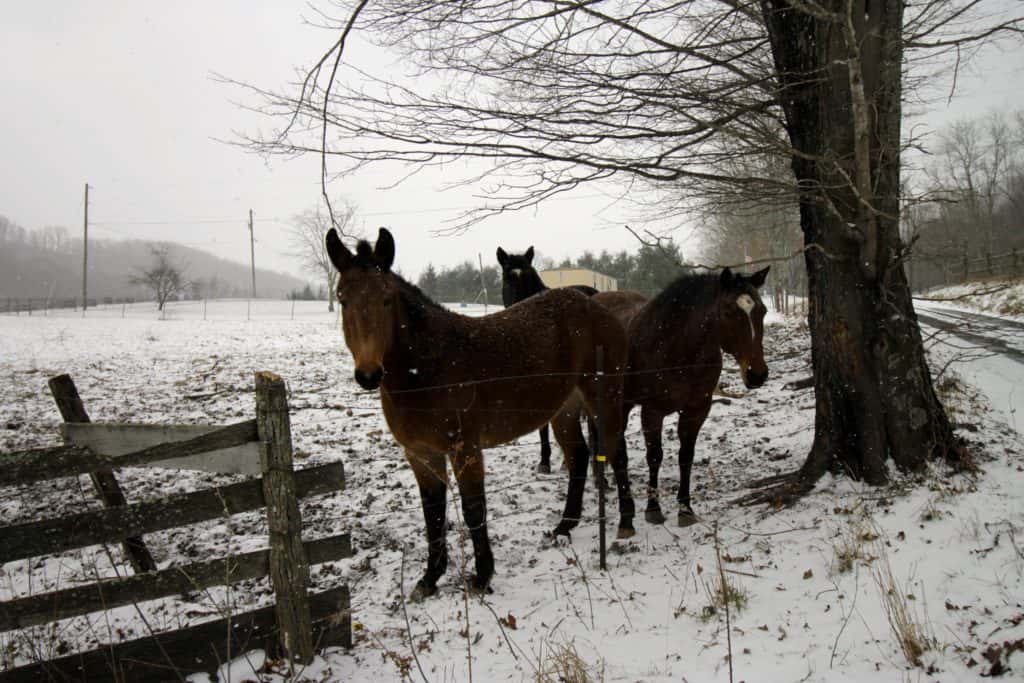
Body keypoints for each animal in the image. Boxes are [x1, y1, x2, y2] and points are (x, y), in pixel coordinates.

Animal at [569, 270, 770, 528]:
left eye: (762, 311)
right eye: (728, 312)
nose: (757, 374)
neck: (678, 347)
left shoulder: (697, 410)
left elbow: (686, 457)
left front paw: (685, 509)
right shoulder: (652, 412)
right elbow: (655, 457)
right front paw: (653, 508)